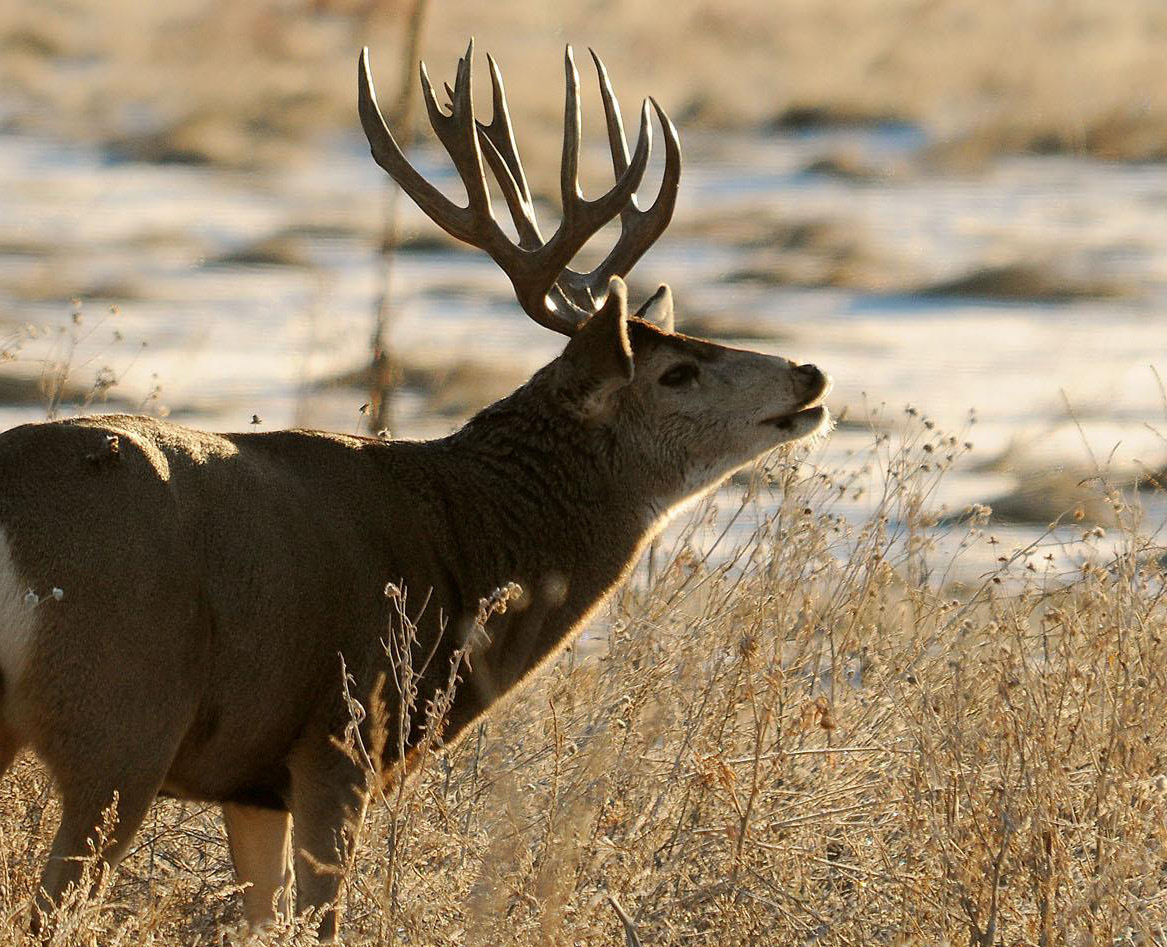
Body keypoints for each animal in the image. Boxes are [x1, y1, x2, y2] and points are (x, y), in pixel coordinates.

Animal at [0, 40, 830, 938]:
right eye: (677, 371)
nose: (808, 373)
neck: (464, 535)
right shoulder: (340, 736)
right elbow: (320, 920)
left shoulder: (250, 779)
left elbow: (263, 916)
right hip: (121, 716)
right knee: (51, 900)